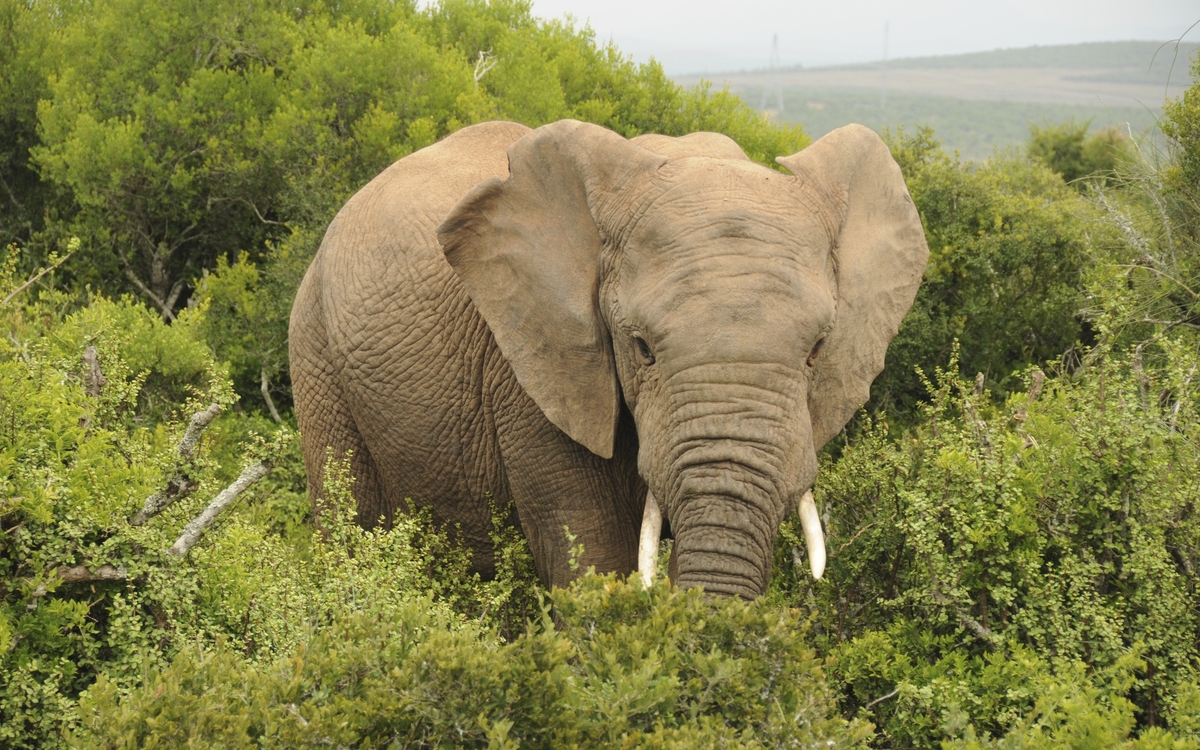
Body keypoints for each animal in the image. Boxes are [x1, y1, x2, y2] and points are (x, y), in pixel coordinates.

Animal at [289, 118, 928, 599]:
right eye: (640, 347)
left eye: (817, 351)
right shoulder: (532, 370)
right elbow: (590, 553)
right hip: (315, 350)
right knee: (347, 522)